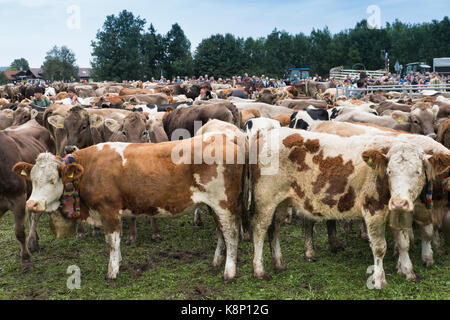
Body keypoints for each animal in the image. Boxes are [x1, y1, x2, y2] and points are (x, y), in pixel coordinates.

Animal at [14, 134, 246, 280]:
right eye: (33, 180)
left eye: (52, 180)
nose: (31, 203)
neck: (90, 168)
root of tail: (227, 140)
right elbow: (116, 242)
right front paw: (119, 262)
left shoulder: (108, 210)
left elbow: (111, 242)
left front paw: (112, 271)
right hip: (213, 206)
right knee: (221, 233)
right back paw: (217, 261)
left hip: (224, 204)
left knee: (231, 234)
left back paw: (229, 272)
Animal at [248, 128, 450, 290]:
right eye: (389, 172)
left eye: (418, 172)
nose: (400, 202)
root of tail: (265, 134)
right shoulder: (373, 211)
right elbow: (379, 248)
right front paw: (379, 280)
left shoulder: (396, 214)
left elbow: (403, 243)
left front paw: (408, 271)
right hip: (265, 200)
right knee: (259, 229)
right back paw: (259, 269)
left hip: (282, 201)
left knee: (275, 229)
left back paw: (279, 263)